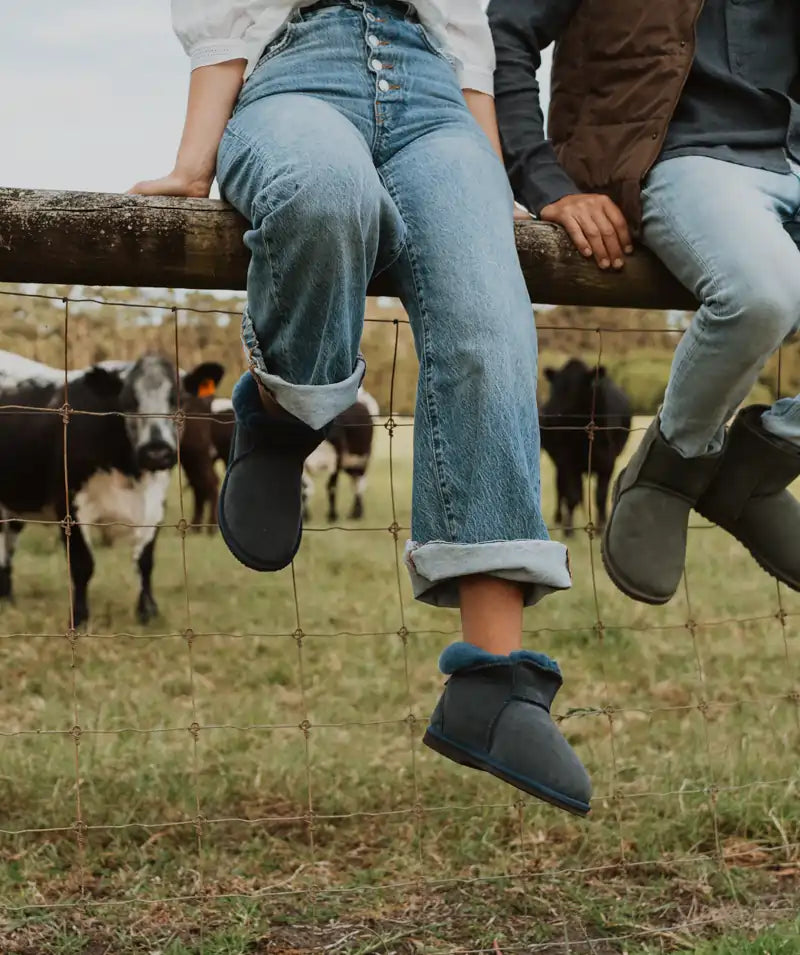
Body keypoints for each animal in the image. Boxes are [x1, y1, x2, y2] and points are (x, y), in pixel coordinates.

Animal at [0, 352, 178, 628]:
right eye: (128, 401)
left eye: (176, 399)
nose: (156, 452)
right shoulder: (70, 504)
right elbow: (82, 565)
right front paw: (80, 618)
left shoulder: (155, 505)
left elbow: (145, 563)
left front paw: (148, 612)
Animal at [536, 360, 632, 536]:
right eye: (554, 388)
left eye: (575, 389)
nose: (548, 414)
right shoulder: (566, 461)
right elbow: (572, 495)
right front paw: (568, 529)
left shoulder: (608, 463)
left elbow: (601, 496)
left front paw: (602, 526)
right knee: (561, 489)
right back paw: (559, 518)